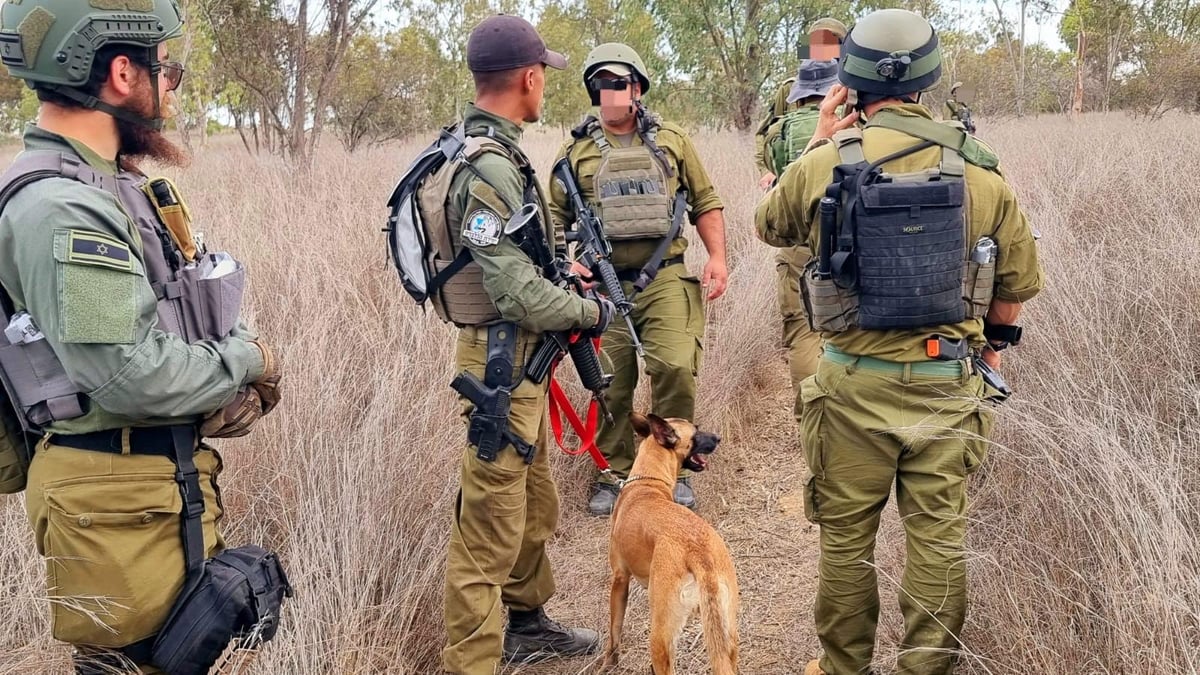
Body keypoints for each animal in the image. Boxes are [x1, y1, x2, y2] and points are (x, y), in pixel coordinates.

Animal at [604, 413, 734, 667]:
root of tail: (698, 554)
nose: (718, 438)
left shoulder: (620, 578)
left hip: (660, 638)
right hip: (728, 633)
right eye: (696, 432)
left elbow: (614, 631)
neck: (647, 482)